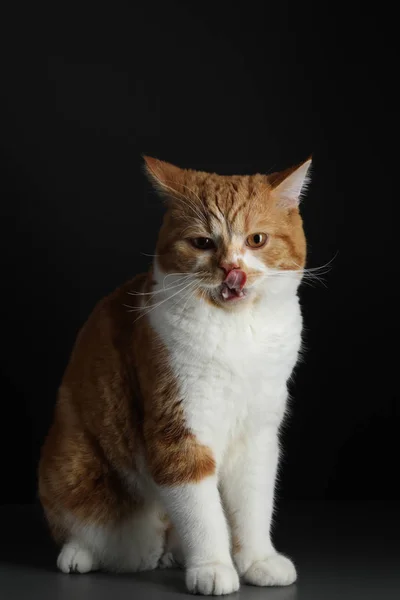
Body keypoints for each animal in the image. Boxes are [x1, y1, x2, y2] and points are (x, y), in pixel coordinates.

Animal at [39, 155, 310, 596]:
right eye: (202, 243)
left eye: (256, 240)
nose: (231, 269)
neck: (237, 331)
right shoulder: (178, 428)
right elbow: (201, 511)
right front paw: (213, 566)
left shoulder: (257, 433)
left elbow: (253, 502)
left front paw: (258, 560)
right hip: (74, 467)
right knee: (83, 525)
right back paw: (81, 555)